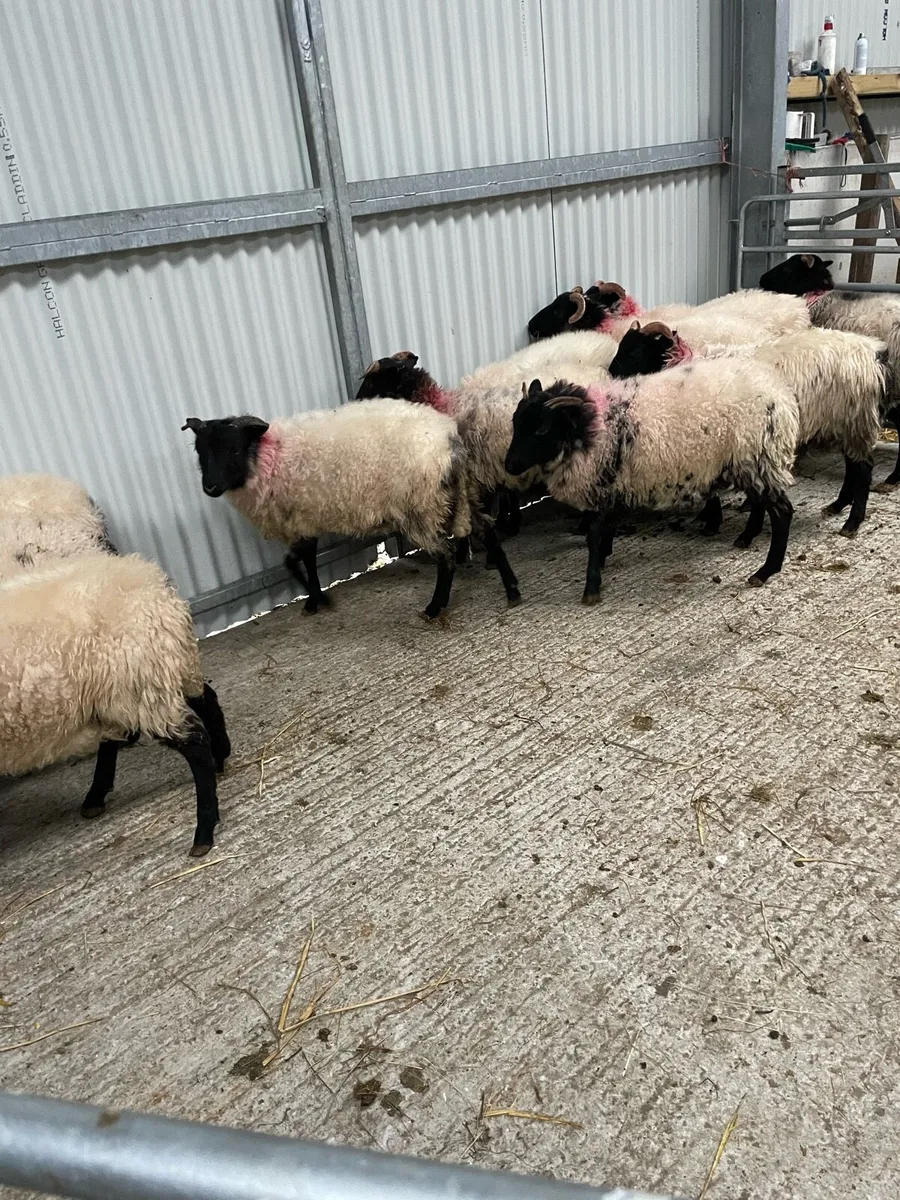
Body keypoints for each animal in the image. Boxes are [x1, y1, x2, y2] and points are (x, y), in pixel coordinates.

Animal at [0, 552, 231, 856]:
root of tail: (152, 580)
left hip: (137, 681)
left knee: (193, 742)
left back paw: (203, 832)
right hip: (148, 677)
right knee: (203, 697)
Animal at [181, 402, 519, 621]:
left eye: (234, 449)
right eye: (200, 450)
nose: (210, 487)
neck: (266, 459)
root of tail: (450, 440)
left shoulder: (300, 519)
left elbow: (296, 561)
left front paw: (317, 599)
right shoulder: (305, 519)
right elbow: (302, 561)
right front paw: (315, 599)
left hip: (421, 507)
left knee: (446, 556)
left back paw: (434, 608)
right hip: (458, 496)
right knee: (488, 530)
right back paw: (512, 590)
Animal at [504, 359, 799, 603]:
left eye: (542, 427)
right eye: (515, 421)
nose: (509, 465)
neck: (591, 427)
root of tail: (782, 394)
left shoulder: (601, 485)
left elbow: (594, 536)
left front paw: (591, 587)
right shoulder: (613, 485)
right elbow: (607, 529)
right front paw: (604, 557)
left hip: (760, 456)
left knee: (782, 513)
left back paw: (766, 570)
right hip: (751, 461)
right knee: (760, 502)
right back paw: (746, 537)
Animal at [609, 321, 887, 536]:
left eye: (635, 351)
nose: (611, 374)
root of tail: (869, 353)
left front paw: (713, 522)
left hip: (855, 419)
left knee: (863, 468)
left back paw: (852, 522)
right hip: (844, 423)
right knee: (852, 465)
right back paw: (838, 505)